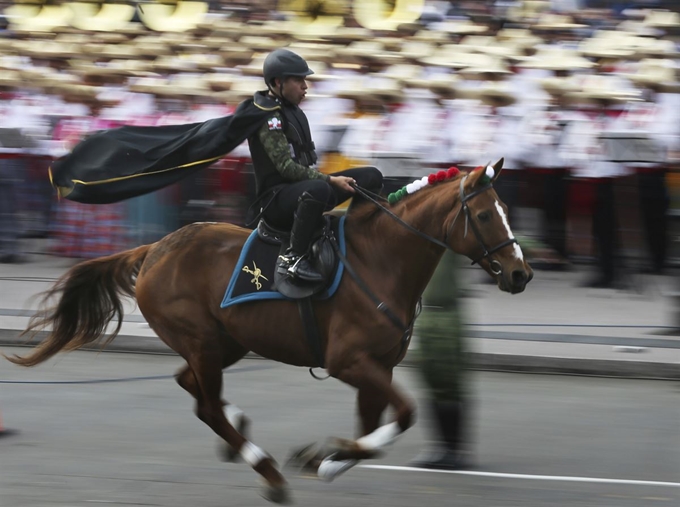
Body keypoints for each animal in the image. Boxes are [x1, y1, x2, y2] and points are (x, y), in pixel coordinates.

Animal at [3, 159, 532, 504]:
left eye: (507, 208)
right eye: (485, 214)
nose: (520, 273)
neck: (380, 259)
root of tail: (155, 249)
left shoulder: (377, 367)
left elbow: (371, 428)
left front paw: (324, 456)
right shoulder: (351, 363)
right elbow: (402, 416)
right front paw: (325, 459)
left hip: (227, 341)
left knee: (193, 387)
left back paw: (242, 430)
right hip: (203, 341)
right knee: (206, 404)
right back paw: (265, 468)